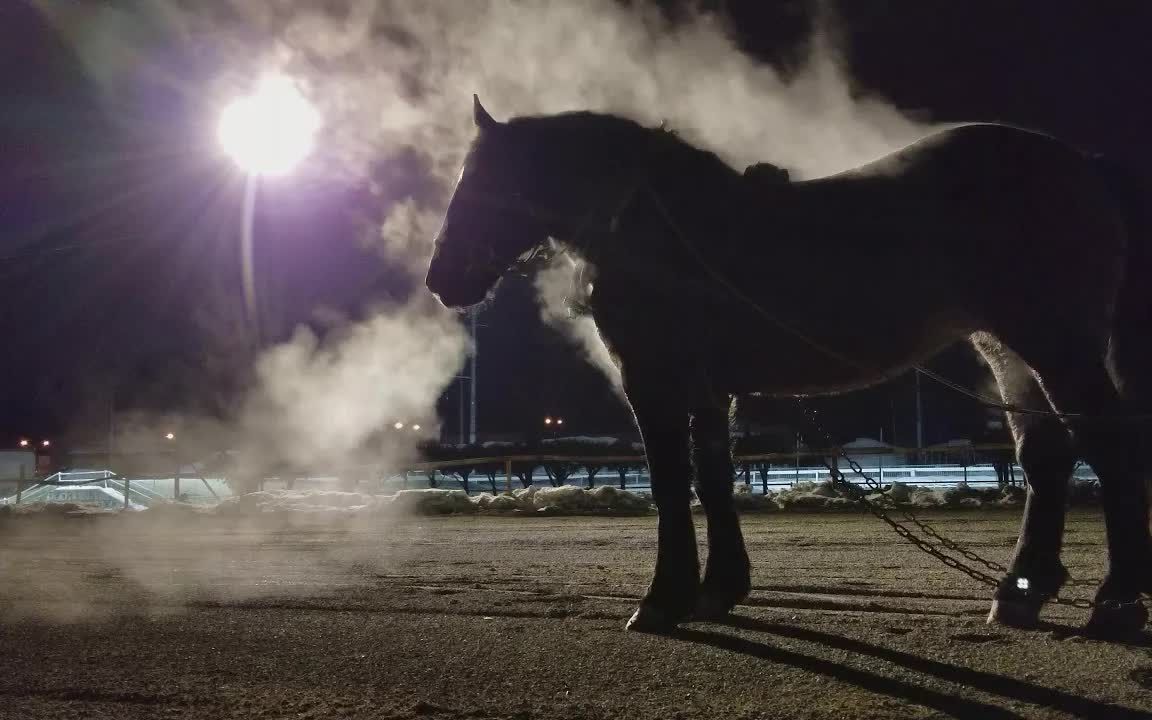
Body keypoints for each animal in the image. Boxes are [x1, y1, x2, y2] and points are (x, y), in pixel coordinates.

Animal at [426, 95, 1152, 635]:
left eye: (486, 181)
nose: (441, 279)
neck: (660, 226)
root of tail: (1083, 166)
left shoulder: (655, 380)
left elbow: (671, 482)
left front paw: (662, 600)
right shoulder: (708, 389)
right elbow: (713, 477)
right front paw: (718, 589)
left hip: (1055, 344)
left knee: (1107, 446)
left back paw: (1114, 604)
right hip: (1009, 352)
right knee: (1046, 457)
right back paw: (1022, 590)